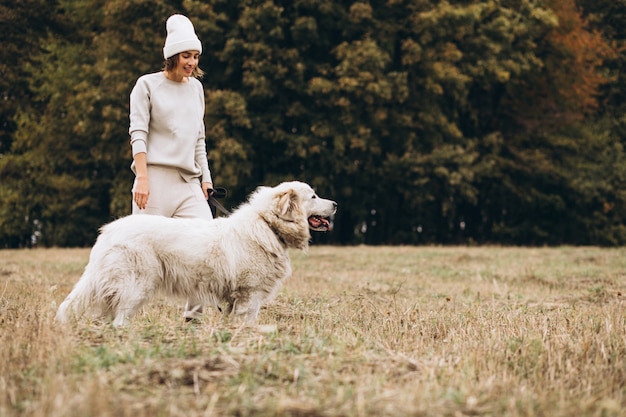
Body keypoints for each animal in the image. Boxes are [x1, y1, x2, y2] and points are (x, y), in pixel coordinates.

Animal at [55, 181, 336, 324]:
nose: (335, 204)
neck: (267, 224)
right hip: (136, 287)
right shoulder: (250, 295)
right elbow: (247, 322)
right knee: (119, 319)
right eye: (313, 196)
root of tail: (107, 232)